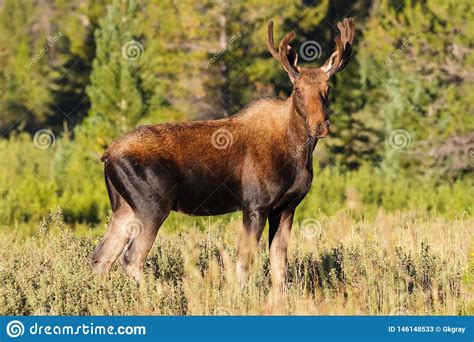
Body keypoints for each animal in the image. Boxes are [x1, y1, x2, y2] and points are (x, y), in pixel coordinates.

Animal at [90, 18, 356, 286]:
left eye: (327, 88)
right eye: (297, 89)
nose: (321, 125)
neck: (298, 155)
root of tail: (107, 155)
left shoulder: (287, 206)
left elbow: (279, 266)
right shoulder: (256, 205)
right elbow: (244, 264)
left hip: (124, 208)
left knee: (101, 257)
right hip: (152, 206)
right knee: (131, 258)